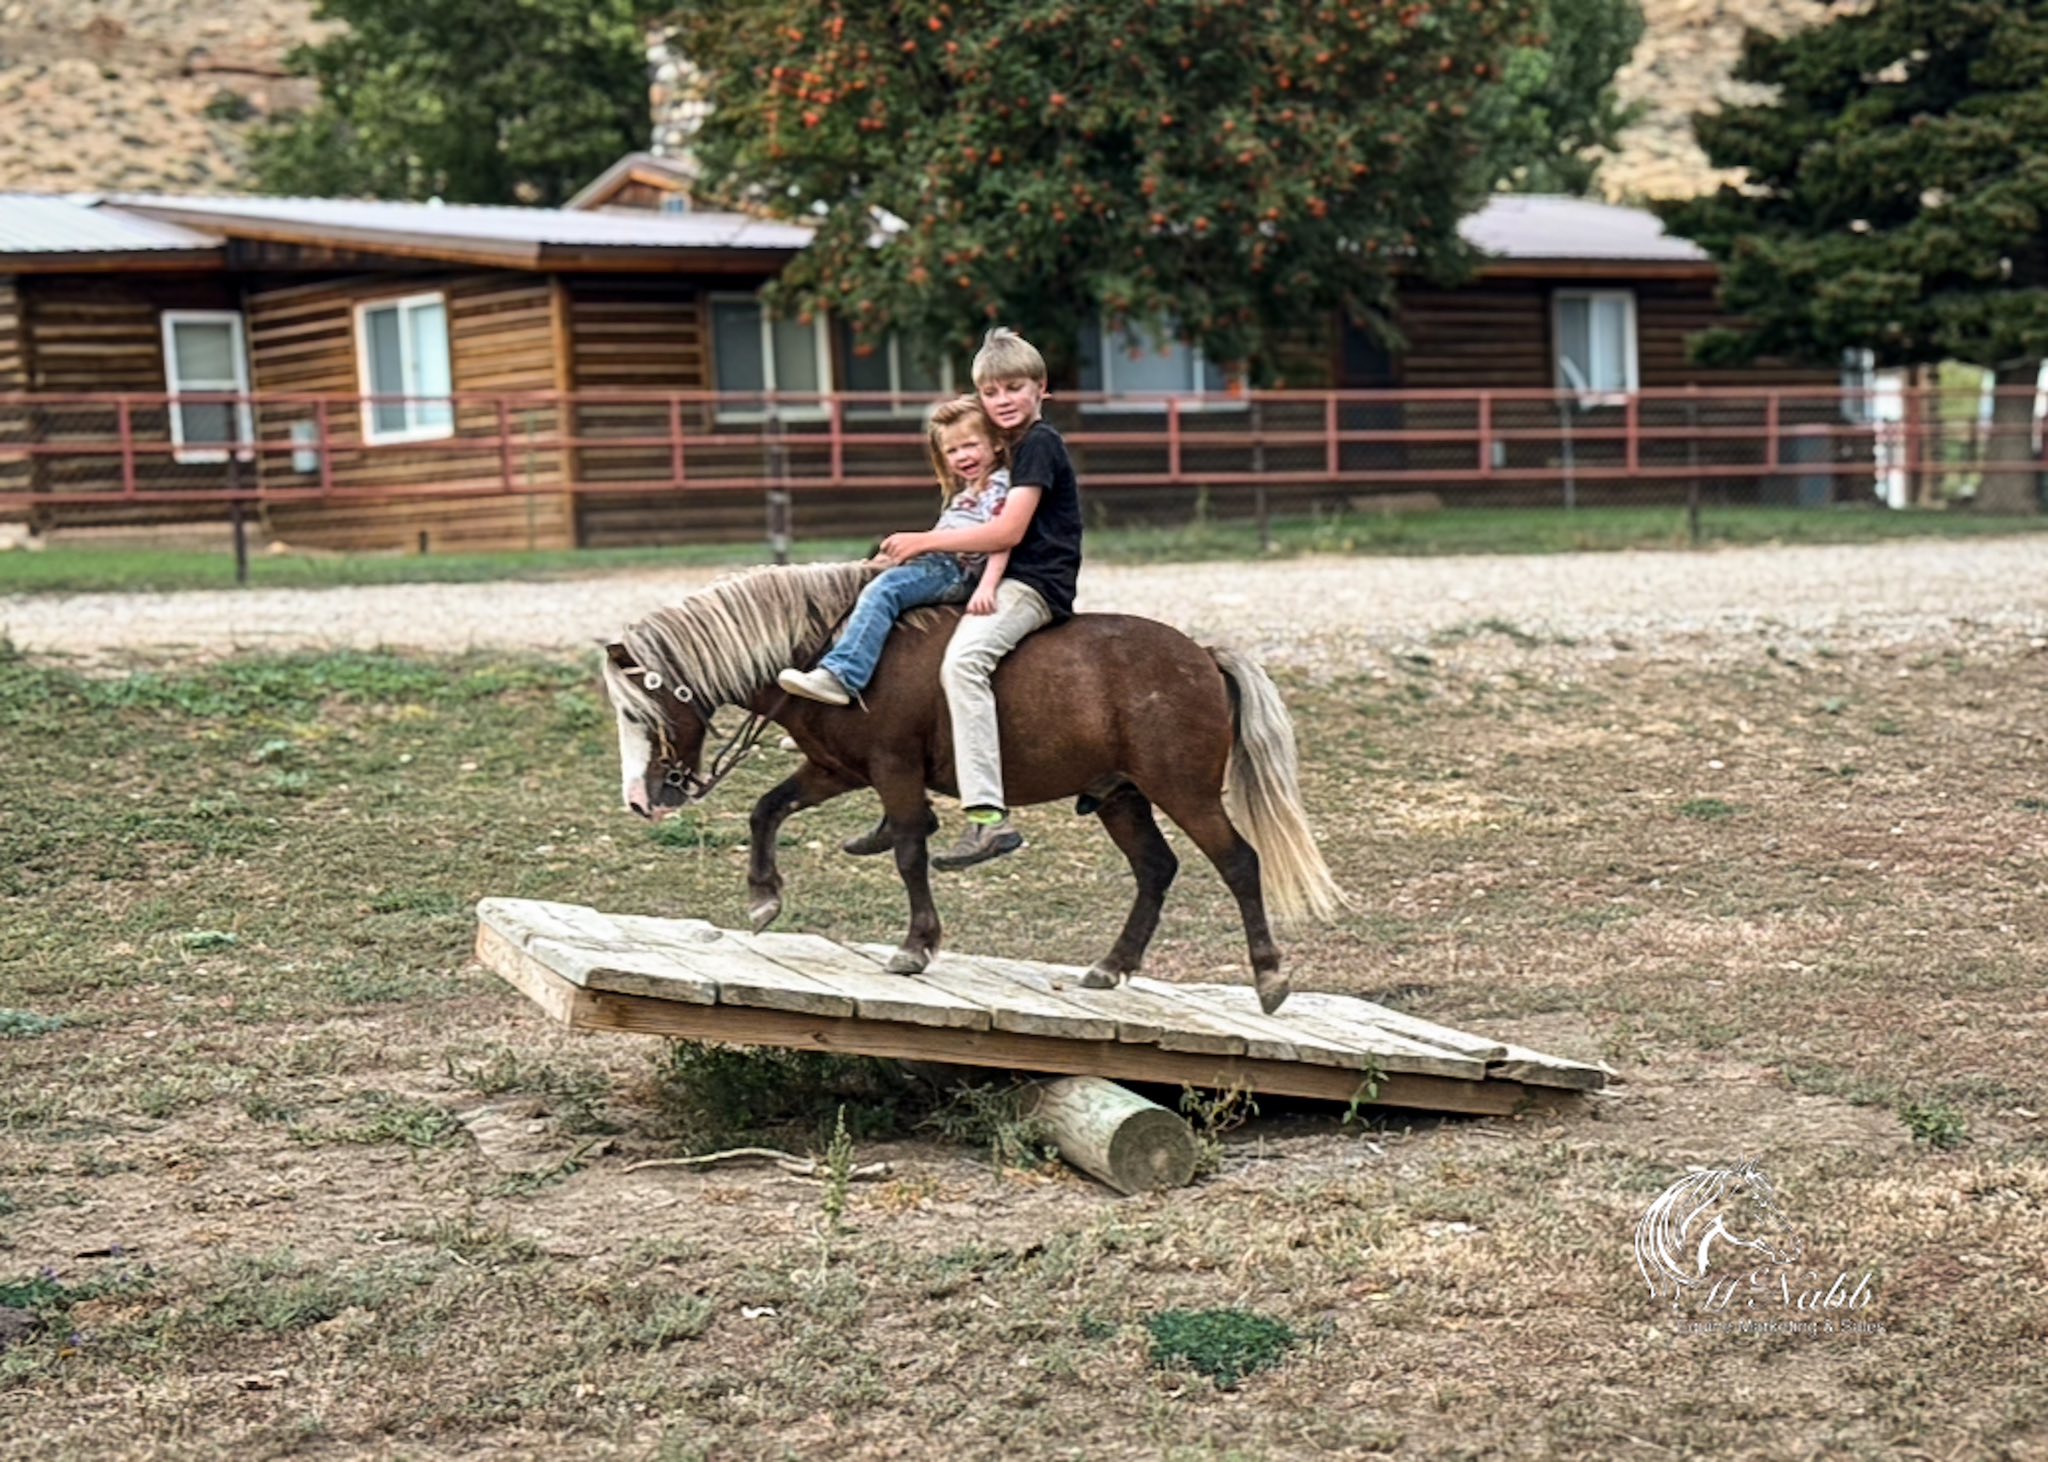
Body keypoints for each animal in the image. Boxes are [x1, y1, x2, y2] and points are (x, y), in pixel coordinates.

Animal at [600, 561, 1346, 1013]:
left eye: (638, 711)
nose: (640, 799)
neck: (827, 652)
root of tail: (1204, 656)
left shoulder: (894, 771)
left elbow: (910, 849)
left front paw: (916, 945)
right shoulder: (838, 769)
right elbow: (767, 809)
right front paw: (763, 898)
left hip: (1182, 790)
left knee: (1238, 862)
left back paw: (1269, 976)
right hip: (1121, 795)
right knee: (1156, 869)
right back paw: (1112, 965)